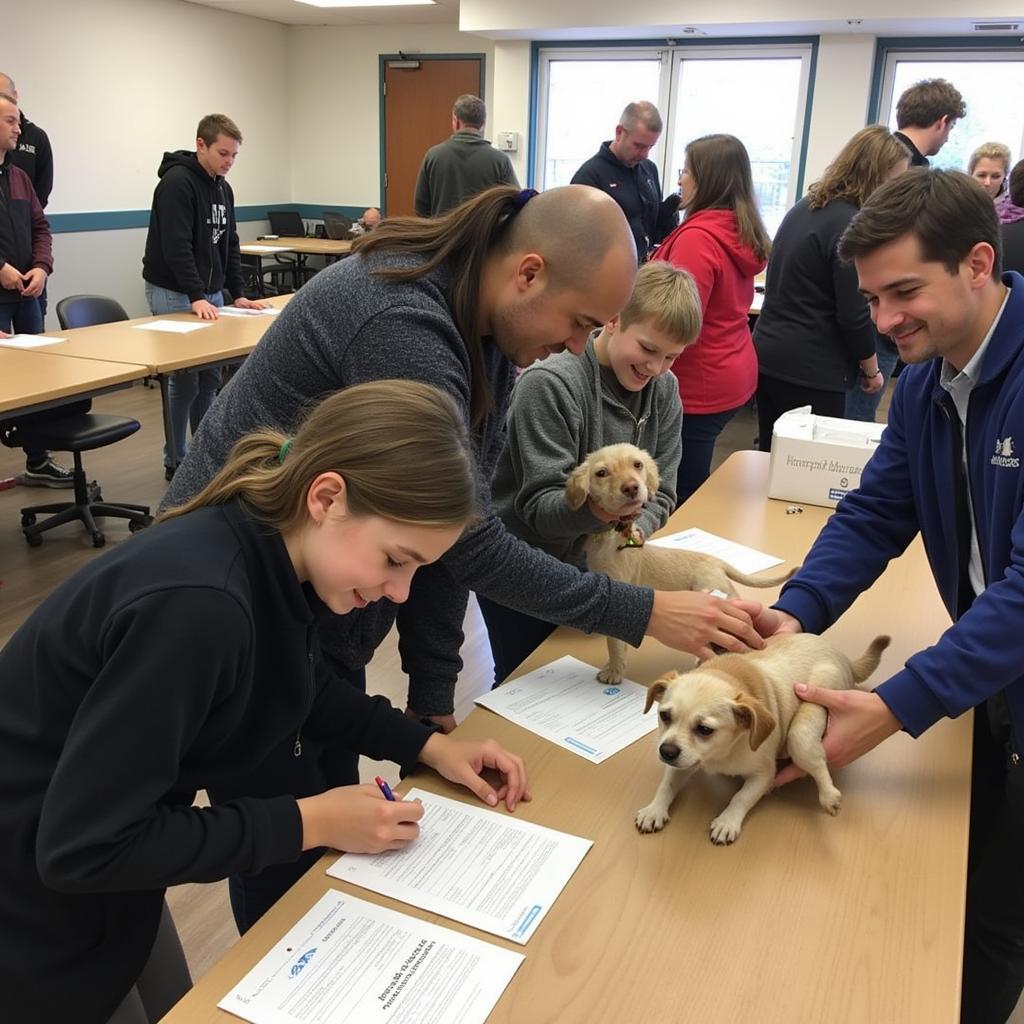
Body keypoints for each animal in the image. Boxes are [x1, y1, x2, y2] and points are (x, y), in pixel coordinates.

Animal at [565, 444, 794, 684]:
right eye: (601, 473)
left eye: (637, 464)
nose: (632, 488)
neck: (611, 537)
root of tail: (717, 562)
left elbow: (615, 644)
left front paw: (614, 671)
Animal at [634, 634, 892, 843]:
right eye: (664, 716)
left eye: (705, 729)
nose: (666, 751)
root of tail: (842, 657)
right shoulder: (682, 762)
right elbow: (666, 784)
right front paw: (654, 810)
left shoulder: (763, 774)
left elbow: (741, 797)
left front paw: (728, 821)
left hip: (802, 731)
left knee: (817, 763)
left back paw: (829, 795)